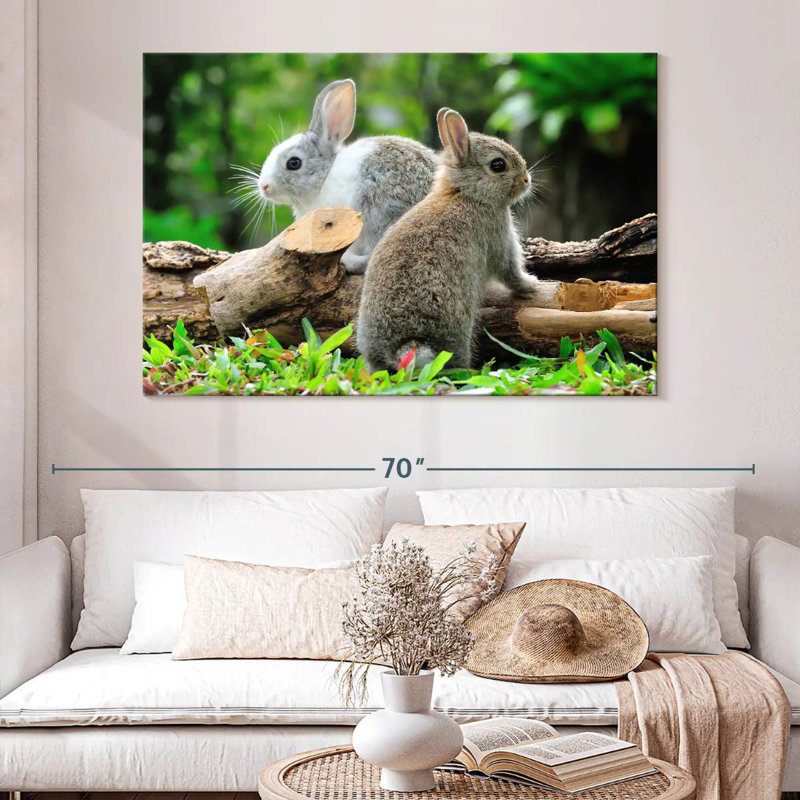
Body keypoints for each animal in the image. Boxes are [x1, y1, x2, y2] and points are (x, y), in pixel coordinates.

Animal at [357, 108, 539, 372]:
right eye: (498, 165)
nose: (526, 180)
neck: (466, 194)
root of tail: (401, 346)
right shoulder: (499, 239)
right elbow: (510, 273)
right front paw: (532, 286)